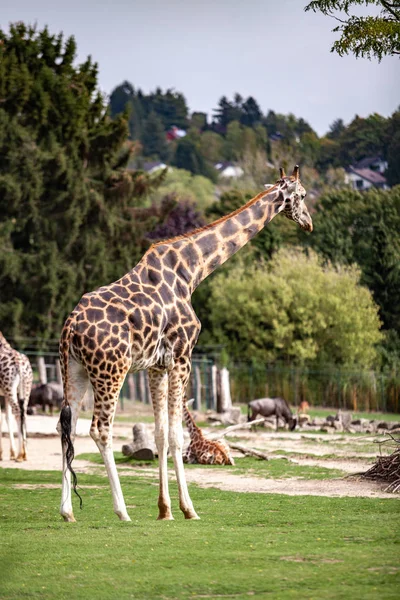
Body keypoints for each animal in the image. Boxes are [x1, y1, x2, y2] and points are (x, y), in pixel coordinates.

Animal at [0, 330, 33, 462]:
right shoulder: (3, 394)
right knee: (24, 413)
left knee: (18, 413)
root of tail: (19, 363)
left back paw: (20, 454)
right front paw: (11, 452)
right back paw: (24, 453)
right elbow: (6, 418)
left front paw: (2, 454)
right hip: (26, 387)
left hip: (9, 388)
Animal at [57, 166, 312, 524]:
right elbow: (178, 435)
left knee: (66, 426)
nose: (309, 223)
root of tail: (70, 327)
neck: (192, 271)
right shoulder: (182, 357)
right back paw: (122, 511)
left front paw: (164, 510)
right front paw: (188, 509)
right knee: (100, 429)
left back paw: (67, 511)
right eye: (301, 195)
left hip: (74, 369)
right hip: (111, 370)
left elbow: (161, 435)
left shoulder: (155, 365)